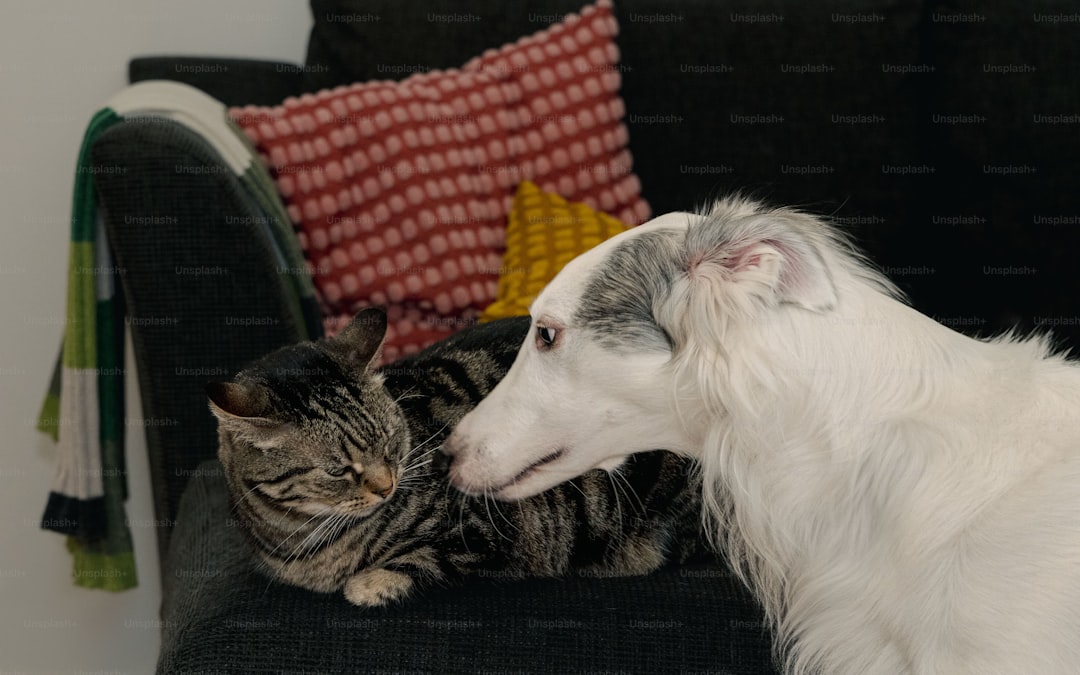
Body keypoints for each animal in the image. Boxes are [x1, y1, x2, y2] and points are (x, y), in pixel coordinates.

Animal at [208, 308, 708, 609]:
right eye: (337, 470)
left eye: (391, 442)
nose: (386, 486)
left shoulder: (489, 528)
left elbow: (425, 558)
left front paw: (370, 584)